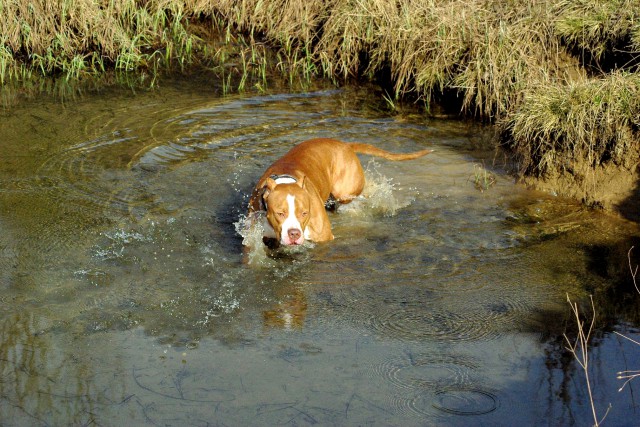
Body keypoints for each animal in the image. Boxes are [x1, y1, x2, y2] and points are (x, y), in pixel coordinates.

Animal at [248, 139, 432, 247]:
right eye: (280, 213)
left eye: (305, 213)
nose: (294, 233)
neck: (285, 179)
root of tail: (345, 145)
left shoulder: (324, 237)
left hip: (344, 191)